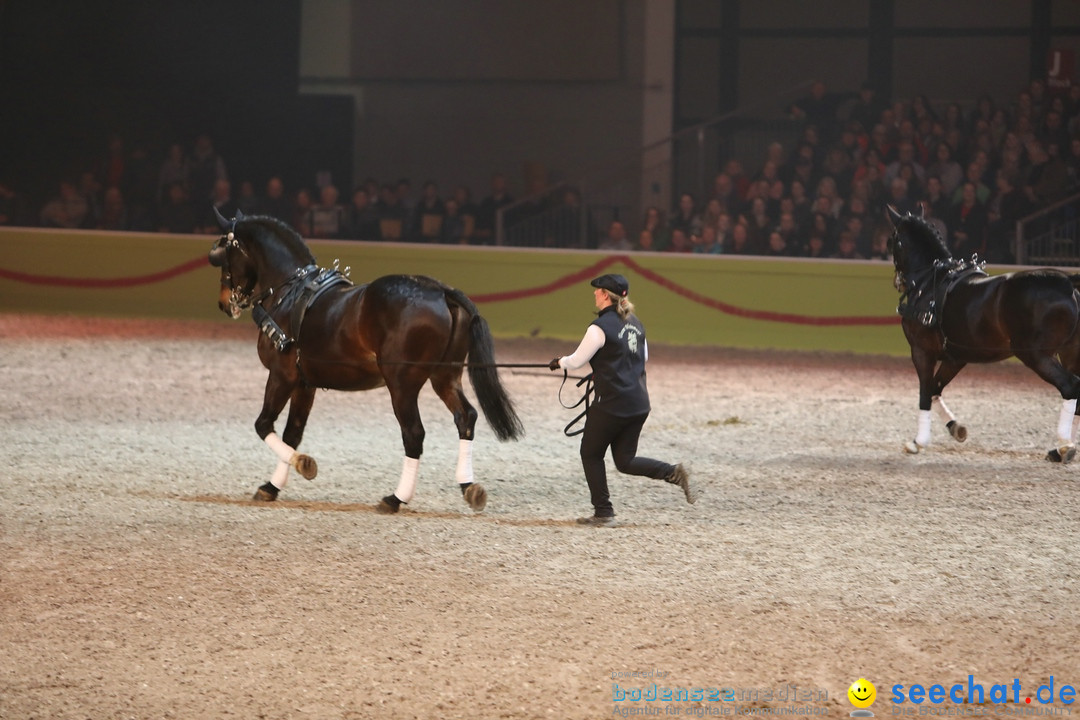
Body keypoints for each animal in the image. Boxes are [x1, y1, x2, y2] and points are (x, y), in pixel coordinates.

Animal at [885, 204, 1080, 462]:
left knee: (1069, 386)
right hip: (1069, 353)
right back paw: (1063, 449)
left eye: (893, 239)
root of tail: (1068, 283)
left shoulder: (921, 351)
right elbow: (936, 388)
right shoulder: (956, 357)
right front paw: (955, 427)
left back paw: (1064, 446)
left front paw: (918, 441)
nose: (898, 281)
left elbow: (925, 392)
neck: (930, 283)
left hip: (1035, 355)